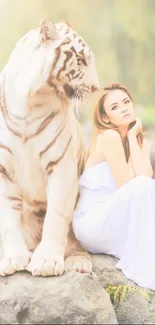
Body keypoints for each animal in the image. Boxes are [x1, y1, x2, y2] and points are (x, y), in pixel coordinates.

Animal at [0, 18, 98, 276]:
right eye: (81, 60)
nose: (96, 87)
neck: (31, 101)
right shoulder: (2, 170)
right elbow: (8, 218)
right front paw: (13, 259)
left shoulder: (61, 165)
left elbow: (56, 216)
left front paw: (46, 262)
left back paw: (78, 262)